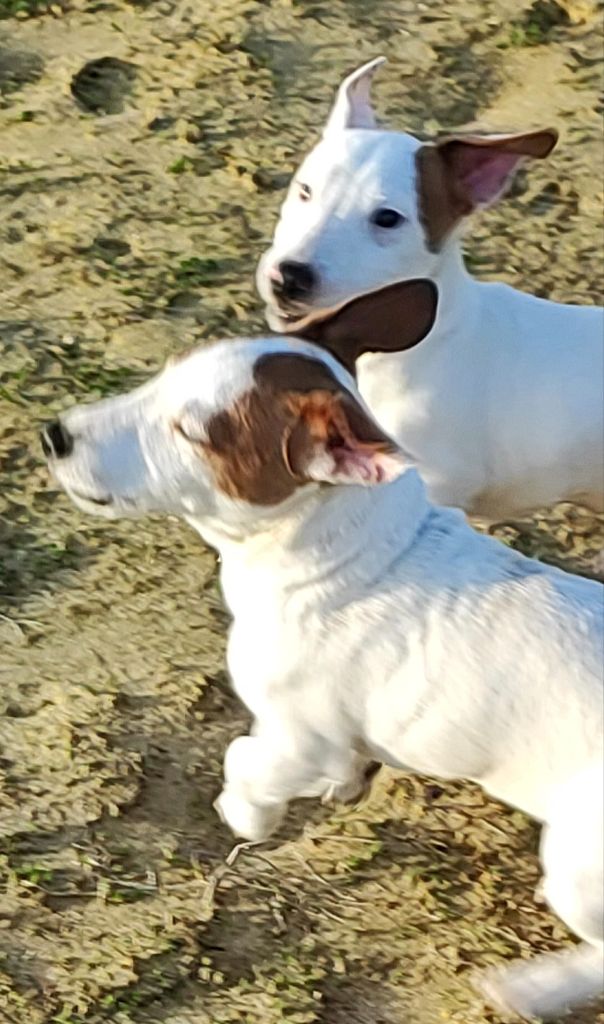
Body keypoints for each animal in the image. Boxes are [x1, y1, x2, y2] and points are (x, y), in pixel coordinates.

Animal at [44, 333, 603, 1019]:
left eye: (194, 432)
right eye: (161, 377)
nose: (55, 435)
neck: (350, 549)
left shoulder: (305, 739)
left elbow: (246, 759)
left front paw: (246, 816)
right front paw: (340, 789)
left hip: (579, 861)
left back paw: (533, 988)